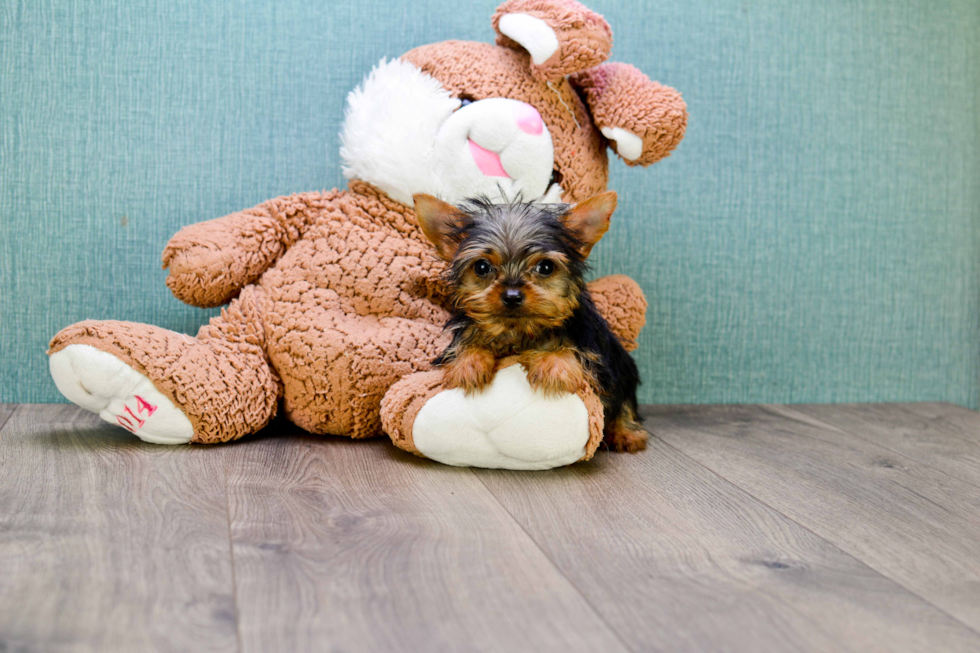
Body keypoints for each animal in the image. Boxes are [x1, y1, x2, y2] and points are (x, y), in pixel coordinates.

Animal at [416, 191, 652, 450]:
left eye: (546, 267)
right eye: (481, 267)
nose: (512, 296)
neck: (519, 332)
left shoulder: (594, 351)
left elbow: (573, 352)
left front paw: (554, 366)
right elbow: (468, 345)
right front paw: (469, 364)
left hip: (623, 365)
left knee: (625, 400)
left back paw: (626, 433)